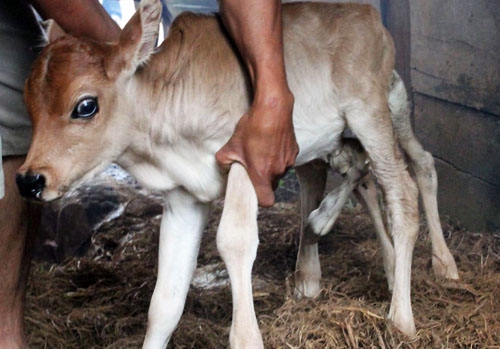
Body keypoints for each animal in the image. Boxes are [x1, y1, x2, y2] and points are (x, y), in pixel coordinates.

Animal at [15, 1, 456, 346]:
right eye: (28, 102)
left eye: (85, 105)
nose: (29, 179)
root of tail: (367, 13)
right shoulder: (183, 198)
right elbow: (165, 301)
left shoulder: (247, 159)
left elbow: (234, 241)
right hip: (335, 134)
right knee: (354, 172)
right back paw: (337, 257)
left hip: (373, 111)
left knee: (404, 186)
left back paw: (408, 309)